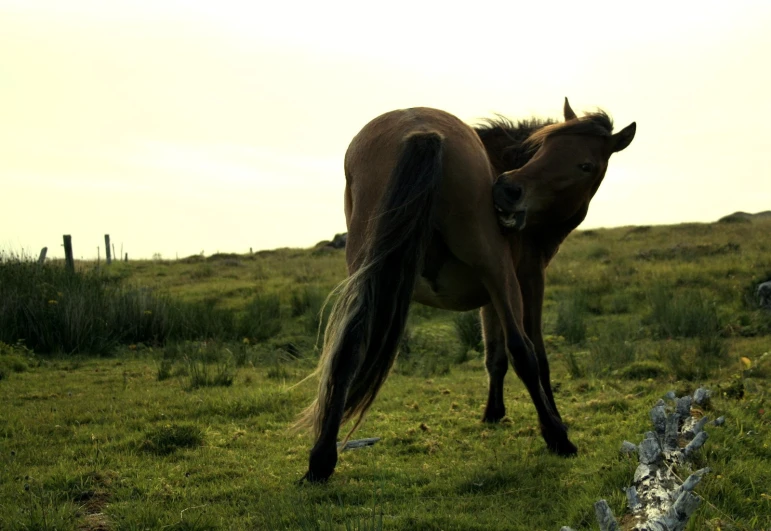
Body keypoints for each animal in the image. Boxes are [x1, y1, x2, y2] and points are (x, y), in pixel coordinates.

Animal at [298, 98, 636, 482]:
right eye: (542, 149)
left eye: (585, 165)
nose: (508, 190)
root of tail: (420, 131)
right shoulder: (526, 280)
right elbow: (534, 355)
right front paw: (553, 422)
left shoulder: (489, 297)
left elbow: (494, 356)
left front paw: (493, 412)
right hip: (497, 268)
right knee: (523, 351)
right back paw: (557, 438)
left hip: (369, 276)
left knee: (349, 349)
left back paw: (321, 460)